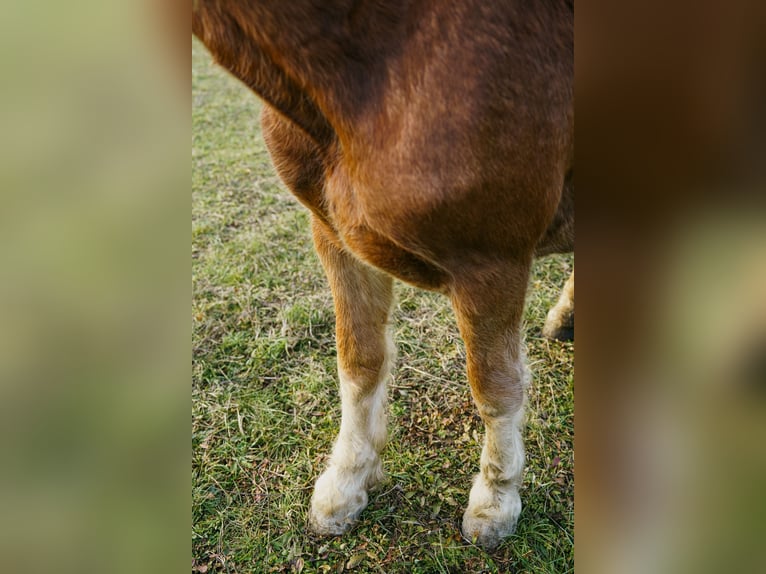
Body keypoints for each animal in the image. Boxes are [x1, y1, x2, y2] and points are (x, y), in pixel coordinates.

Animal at [195, 0, 572, 552]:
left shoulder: (493, 262)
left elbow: (495, 387)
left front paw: (495, 501)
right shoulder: (334, 235)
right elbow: (359, 361)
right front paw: (347, 482)